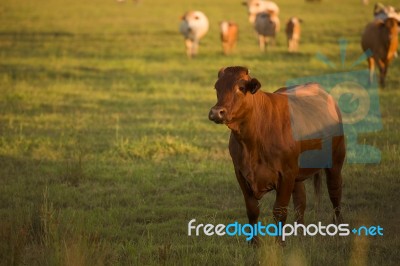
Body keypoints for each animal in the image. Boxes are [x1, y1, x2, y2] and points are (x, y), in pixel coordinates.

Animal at [208, 66, 346, 245]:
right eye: (217, 87)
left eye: (241, 88)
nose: (216, 112)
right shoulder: (241, 174)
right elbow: (252, 210)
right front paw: (254, 243)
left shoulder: (286, 175)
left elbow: (279, 211)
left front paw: (279, 244)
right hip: (298, 173)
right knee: (300, 200)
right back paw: (300, 235)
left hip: (336, 160)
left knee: (335, 192)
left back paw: (339, 228)